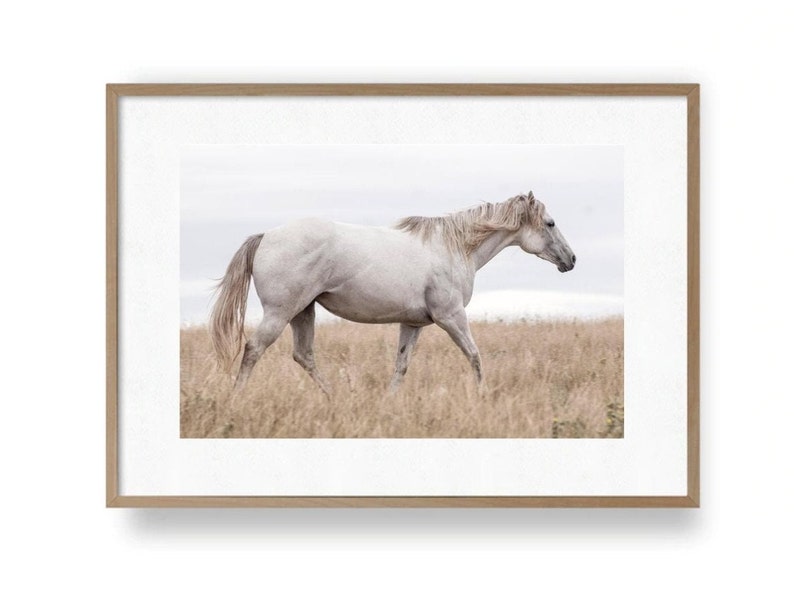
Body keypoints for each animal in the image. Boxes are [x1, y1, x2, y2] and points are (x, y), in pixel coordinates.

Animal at [209, 191, 576, 395]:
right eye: (550, 223)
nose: (571, 260)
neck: (455, 247)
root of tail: (266, 236)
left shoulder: (412, 324)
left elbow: (401, 366)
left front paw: (390, 401)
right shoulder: (451, 317)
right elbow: (475, 356)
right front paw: (483, 397)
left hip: (303, 311)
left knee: (304, 355)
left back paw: (335, 398)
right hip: (281, 312)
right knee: (254, 349)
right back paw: (236, 399)